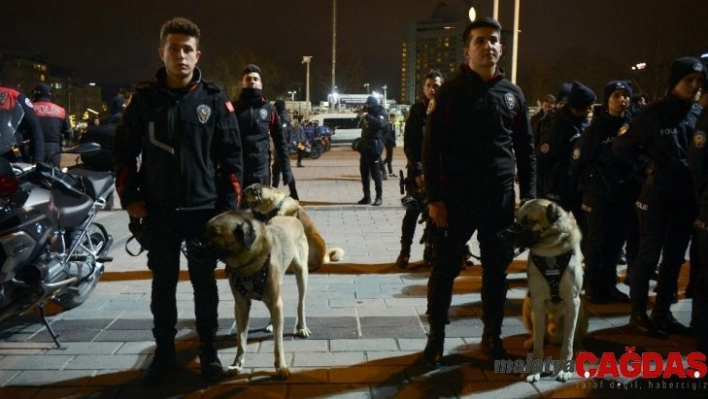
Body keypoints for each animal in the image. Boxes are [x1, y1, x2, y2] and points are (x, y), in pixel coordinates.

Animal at [203, 211, 312, 380]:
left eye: (215, 233)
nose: (193, 245)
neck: (247, 265)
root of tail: (291, 217)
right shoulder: (241, 306)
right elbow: (241, 340)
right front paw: (237, 364)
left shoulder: (275, 301)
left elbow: (278, 341)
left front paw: (281, 366)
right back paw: (271, 324)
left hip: (301, 272)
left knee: (301, 302)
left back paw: (301, 327)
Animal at [504, 198, 588, 382]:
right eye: (516, 217)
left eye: (528, 221)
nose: (502, 235)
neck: (550, 249)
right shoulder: (537, 301)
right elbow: (538, 345)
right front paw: (534, 370)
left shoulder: (572, 301)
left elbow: (568, 342)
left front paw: (565, 370)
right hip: (527, 303)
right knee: (538, 335)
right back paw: (531, 340)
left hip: (582, 308)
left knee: (575, 337)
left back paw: (579, 348)